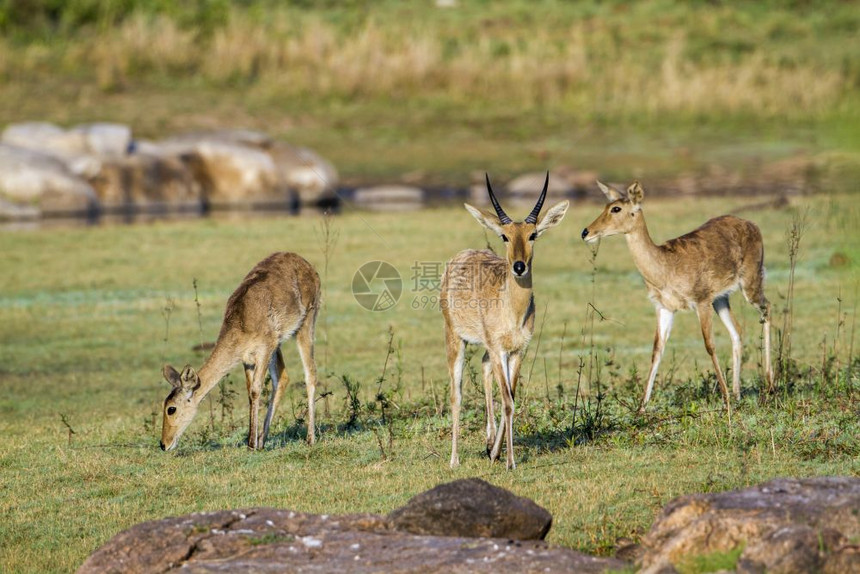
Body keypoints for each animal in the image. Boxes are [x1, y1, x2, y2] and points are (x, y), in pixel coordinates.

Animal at [159, 254, 320, 452]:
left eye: (171, 408)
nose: (163, 444)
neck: (241, 324)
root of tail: (309, 266)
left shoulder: (265, 348)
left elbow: (256, 390)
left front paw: (251, 444)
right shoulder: (248, 358)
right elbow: (250, 392)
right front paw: (254, 442)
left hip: (307, 321)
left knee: (310, 372)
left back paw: (310, 439)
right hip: (279, 344)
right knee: (283, 378)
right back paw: (263, 439)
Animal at [444, 173, 572, 470]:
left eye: (533, 234)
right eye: (504, 236)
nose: (519, 266)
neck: (513, 312)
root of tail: (460, 255)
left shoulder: (517, 350)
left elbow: (510, 398)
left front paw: (497, 454)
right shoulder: (499, 349)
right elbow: (507, 401)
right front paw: (511, 461)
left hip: (488, 349)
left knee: (484, 367)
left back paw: (490, 443)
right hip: (455, 339)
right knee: (456, 395)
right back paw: (454, 460)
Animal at [580, 181, 776, 414]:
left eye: (616, 208)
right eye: (606, 205)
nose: (585, 232)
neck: (666, 267)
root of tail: (752, 224)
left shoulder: (701, 301)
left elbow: (709, 344)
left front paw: (725, 399)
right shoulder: (664, 307)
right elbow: (657, 350)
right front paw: (641, 408)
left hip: (750, 283)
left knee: (767, 308)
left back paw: (768, 385)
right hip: (721, 299)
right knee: (737, 331)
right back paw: (738, 393)